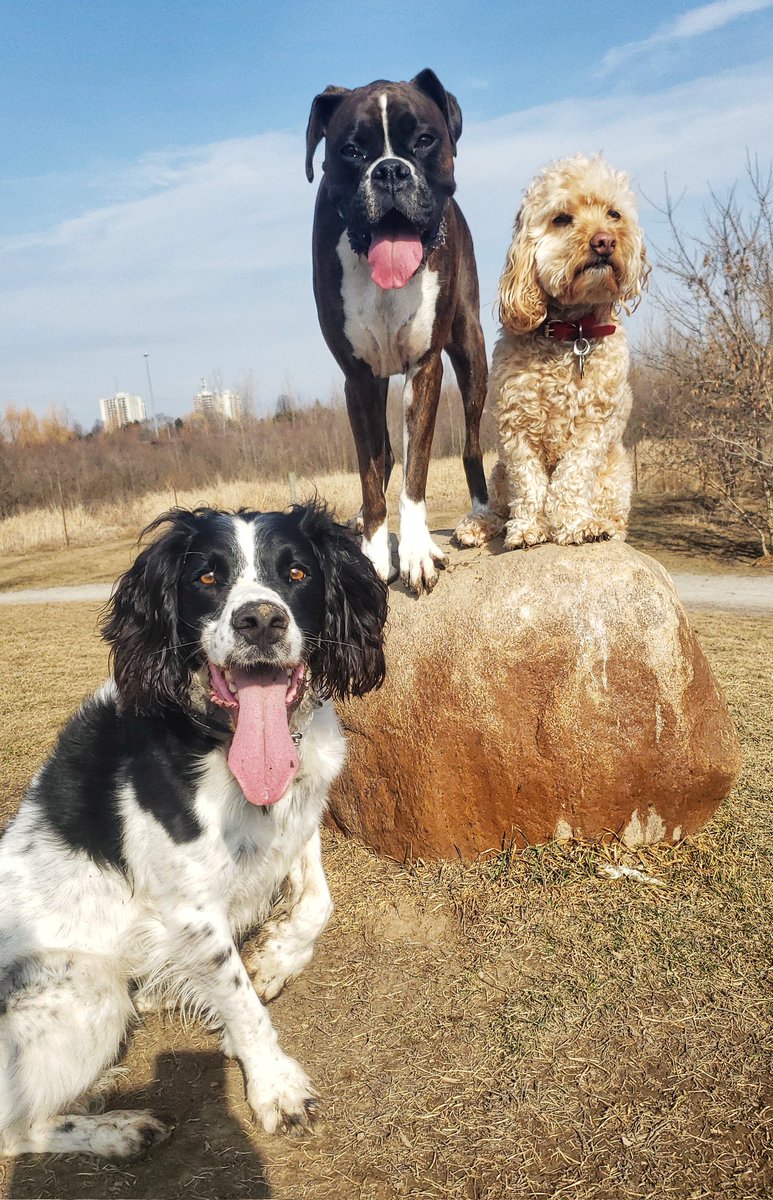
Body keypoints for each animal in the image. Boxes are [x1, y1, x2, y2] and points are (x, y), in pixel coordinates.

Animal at [456, 154, 648, 549]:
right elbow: (528, 484)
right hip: (498, 471)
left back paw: (605, 524)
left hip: (618, 473)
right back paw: (478, 525)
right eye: (561, 218)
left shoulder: (595, 428)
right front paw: (529, 528)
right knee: (498, 507)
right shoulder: (515, 427)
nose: (604, 242)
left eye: (614, 214)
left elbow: (571, 477)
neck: (571, 334)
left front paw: (577, 525)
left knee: (615, 513)